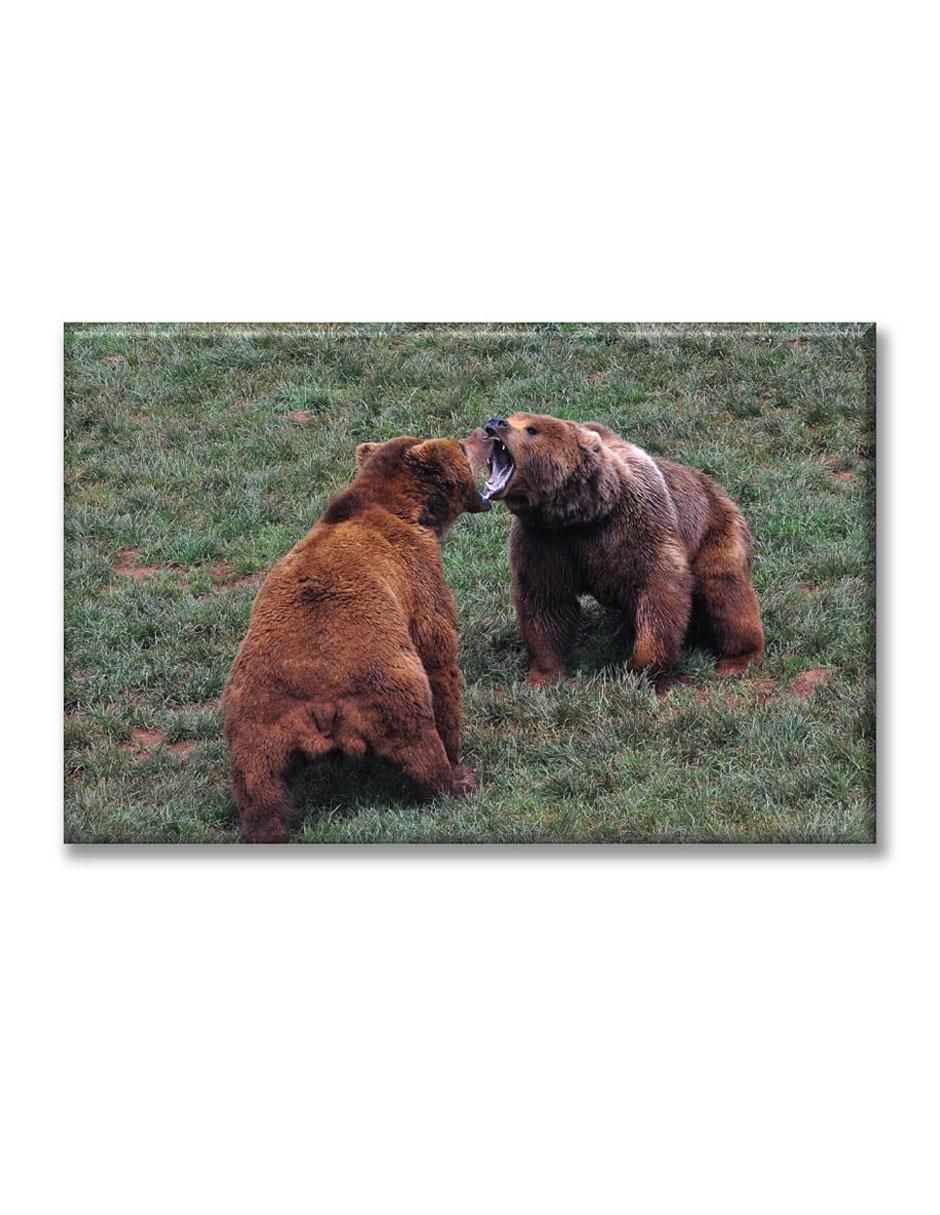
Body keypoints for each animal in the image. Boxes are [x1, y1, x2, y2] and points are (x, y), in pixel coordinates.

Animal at [222, 435, 491, 843]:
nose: (485, 433)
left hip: (256, 717)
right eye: (462, 446)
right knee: (417, 734)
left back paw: (266, 824)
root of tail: (320, 704)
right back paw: (454, 781)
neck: (405, 510)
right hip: (384, 685)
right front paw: (457, 751)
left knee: (258, 785)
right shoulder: (419, 576)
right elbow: (438, 651)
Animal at [464, 412, 764, 691]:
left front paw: (640, 667)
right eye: (514, 417)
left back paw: (737, 659)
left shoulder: (636, 522)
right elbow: (545, 599)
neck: (582, 512)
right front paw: (542, 675)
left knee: (725, 591)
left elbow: (658, 588)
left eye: (530, 429)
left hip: (715, 530)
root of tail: (715, 486)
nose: (496, 422)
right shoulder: (543, 539)